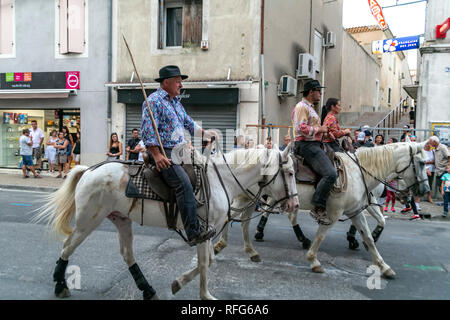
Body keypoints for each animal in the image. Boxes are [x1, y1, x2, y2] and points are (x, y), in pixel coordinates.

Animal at [32, 142, 298, 300]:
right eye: (290, 173)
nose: (295, 204)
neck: (221, 179)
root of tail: (88, 171)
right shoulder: (203, 232)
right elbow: (205, 263)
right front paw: (204, 294)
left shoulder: (208, 233)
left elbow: (208, 261)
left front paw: (179, 283)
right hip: (88, 221)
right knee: (67, 247)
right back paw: (60, 284)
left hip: (121, 220)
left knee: (127, 255)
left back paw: (148, 290)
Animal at [214, 142, 428, 278]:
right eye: (421, 163)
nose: (424, 190)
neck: (359, 172)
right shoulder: (334, 213)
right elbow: (321, 235)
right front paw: (314, 260)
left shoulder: (357, 210)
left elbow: (368, 234)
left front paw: (383, 265)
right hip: (251, 197)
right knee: (237, 216)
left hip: (252, 197)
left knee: (244, 220)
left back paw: (248, 249)